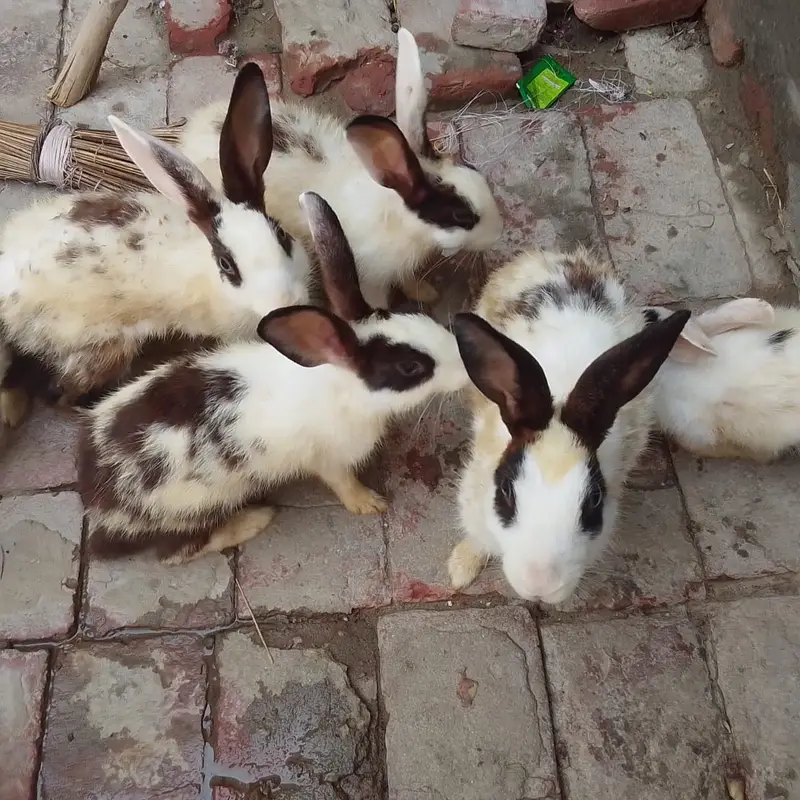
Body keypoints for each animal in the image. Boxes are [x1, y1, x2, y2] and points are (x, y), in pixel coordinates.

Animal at [79, 192, 469, 563]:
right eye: (411, 367)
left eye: (420, 317)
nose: (465, 366)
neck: (343, 387)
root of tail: (96, 496)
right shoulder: (328, 457)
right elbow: (342, 482)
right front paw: (369, 503)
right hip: (192, 509)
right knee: (175, 553)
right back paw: (254, 520)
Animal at [178, 28, 503, 309]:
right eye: (461, 216)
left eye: (476, 172)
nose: (497, 234)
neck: (400, 220)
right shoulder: (370, 275)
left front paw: (425, 292)